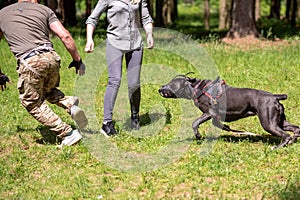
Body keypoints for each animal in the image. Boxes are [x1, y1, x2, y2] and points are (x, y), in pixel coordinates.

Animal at [158, 73, 298, 148]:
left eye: (171, 83)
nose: (160, 88)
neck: (196, 88)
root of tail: (275, 97)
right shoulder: (215, 116)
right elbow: (217, 124)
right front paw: (226, 127)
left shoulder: (209, 113)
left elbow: (194, 123)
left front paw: (198, 135)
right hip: (279, 120)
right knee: (295, 129)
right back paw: (294, 140)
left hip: (268, 122)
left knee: (285, 135)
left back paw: (277, 147)